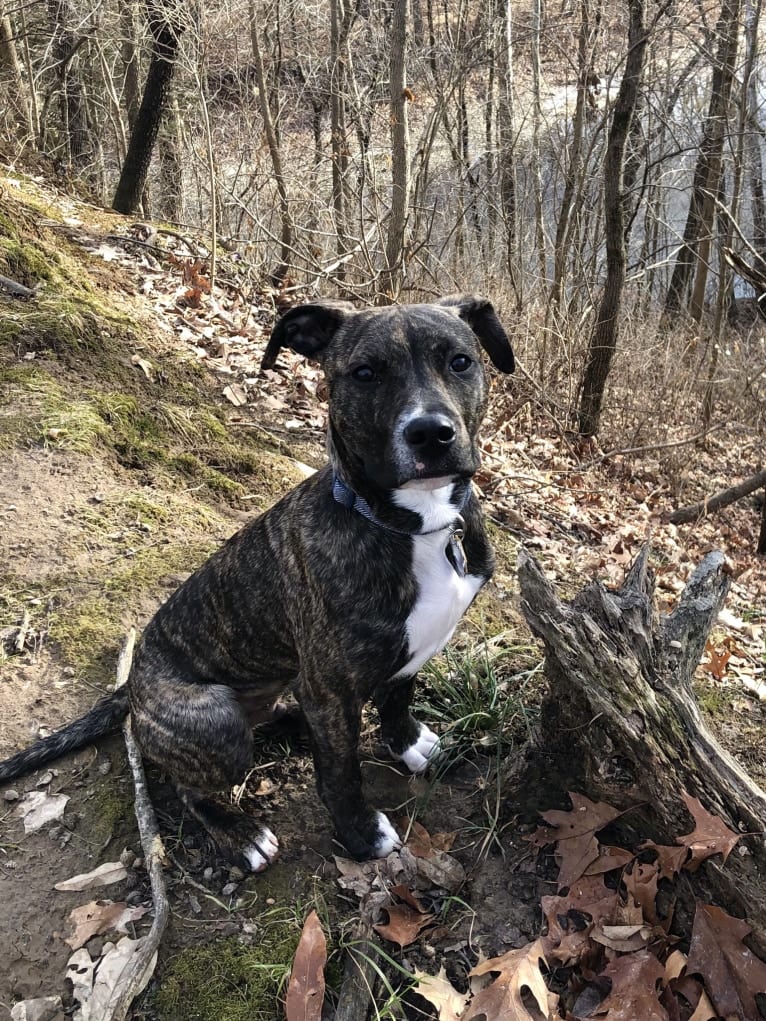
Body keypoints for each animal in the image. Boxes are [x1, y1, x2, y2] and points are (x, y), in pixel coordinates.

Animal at [1, 294, 516, 869]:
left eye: (459, 362)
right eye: (364, 373)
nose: (429, 432)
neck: (412, 525)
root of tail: (131, 688)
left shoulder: (413, 647)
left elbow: (397, 697)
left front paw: (405, 744)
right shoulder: (330, 690)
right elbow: (341, 773)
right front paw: (360, 833)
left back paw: (292, 724)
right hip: (214, 720)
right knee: (187, 787)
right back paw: (238, 831)